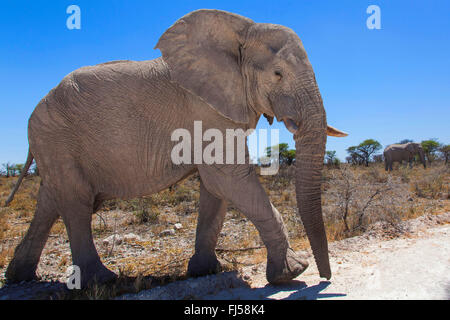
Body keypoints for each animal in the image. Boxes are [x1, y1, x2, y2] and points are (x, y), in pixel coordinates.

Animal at [3, 9, 346, 288]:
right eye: (277, 74)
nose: (325, 279)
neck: (239, 32)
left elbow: (216, 188)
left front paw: (205, 271)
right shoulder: (203, 109)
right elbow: (229, 178)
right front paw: (293, 273)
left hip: (53, 145)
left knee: (51, 200)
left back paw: (20, 277)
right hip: (56, 139)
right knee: (75, 203)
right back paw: (101, 282)